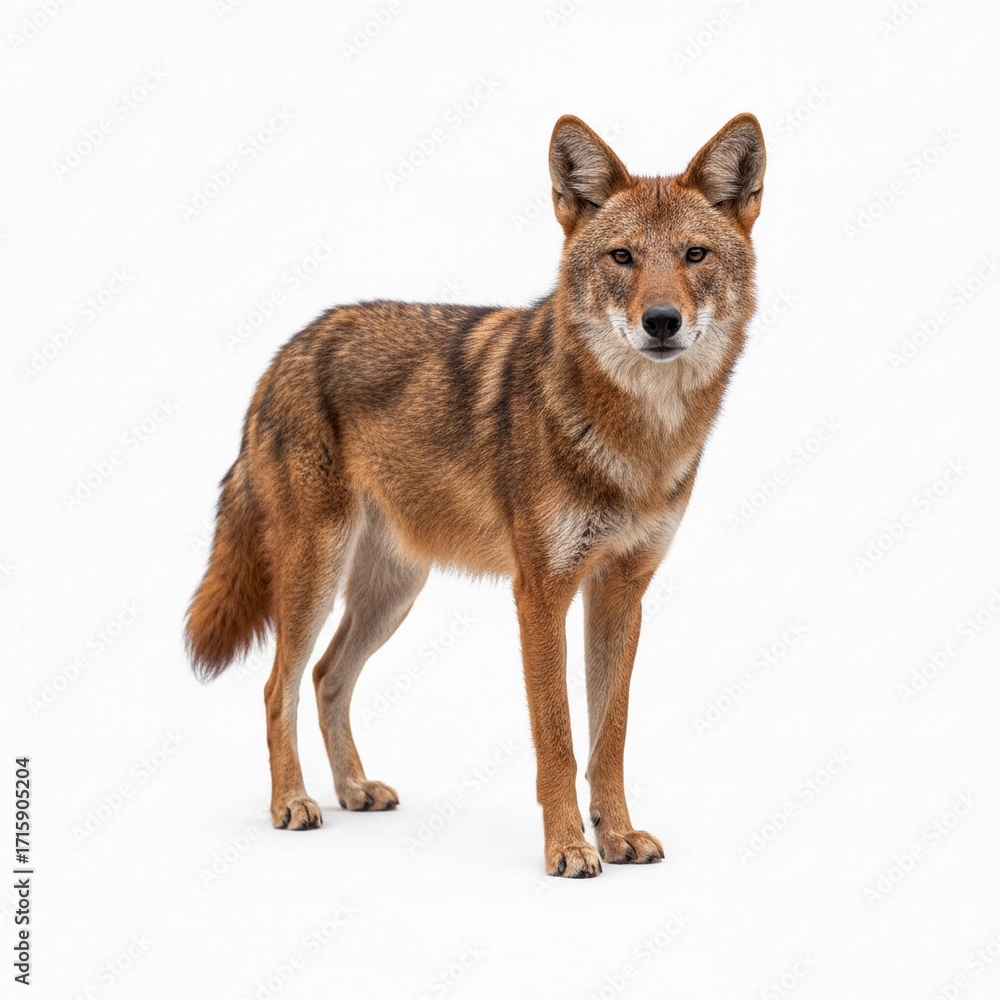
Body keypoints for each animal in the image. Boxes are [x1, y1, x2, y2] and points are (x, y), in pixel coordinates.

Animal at [186, 113, 765, 877]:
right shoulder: (541, 593)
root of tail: (286, 351)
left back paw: (353, 790)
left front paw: (616, 835)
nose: (662, 321)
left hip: (393, 592)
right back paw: (294, 803)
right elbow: (558, 740)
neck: (638, 438)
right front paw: (569, 848)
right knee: (276, 685)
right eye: (622, 258)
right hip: (316, 576)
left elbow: (609, 737)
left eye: (695, 255)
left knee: (326, 676)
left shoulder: (622, 592)